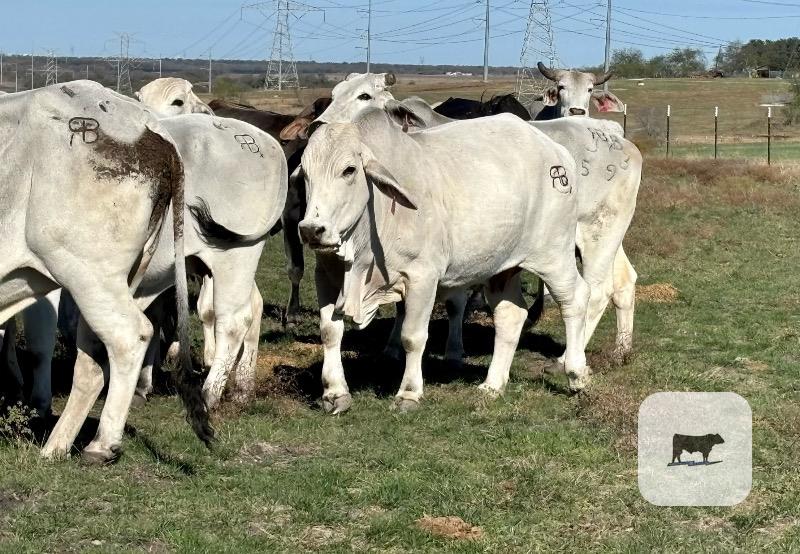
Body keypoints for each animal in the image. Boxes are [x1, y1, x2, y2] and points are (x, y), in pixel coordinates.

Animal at [0, 81, 211, 462]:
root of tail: (153, 129)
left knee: (131, 335)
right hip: (110, 280)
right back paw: (57, 446)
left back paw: (101, 444)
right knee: (93, 359)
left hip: (88, 273)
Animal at [299, 107, 591, 414]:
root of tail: (557, 153)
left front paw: (409, 393)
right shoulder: (326, 277)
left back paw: (576, 374)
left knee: (576, 299)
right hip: (502, 268)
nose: (311, 230)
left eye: (349, 170)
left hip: (553, 254)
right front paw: (335, 392)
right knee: (510, 316)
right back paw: (492, 385)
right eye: (304, 173)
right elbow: (330, 331)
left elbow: (412, 336)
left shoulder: (422, 278)